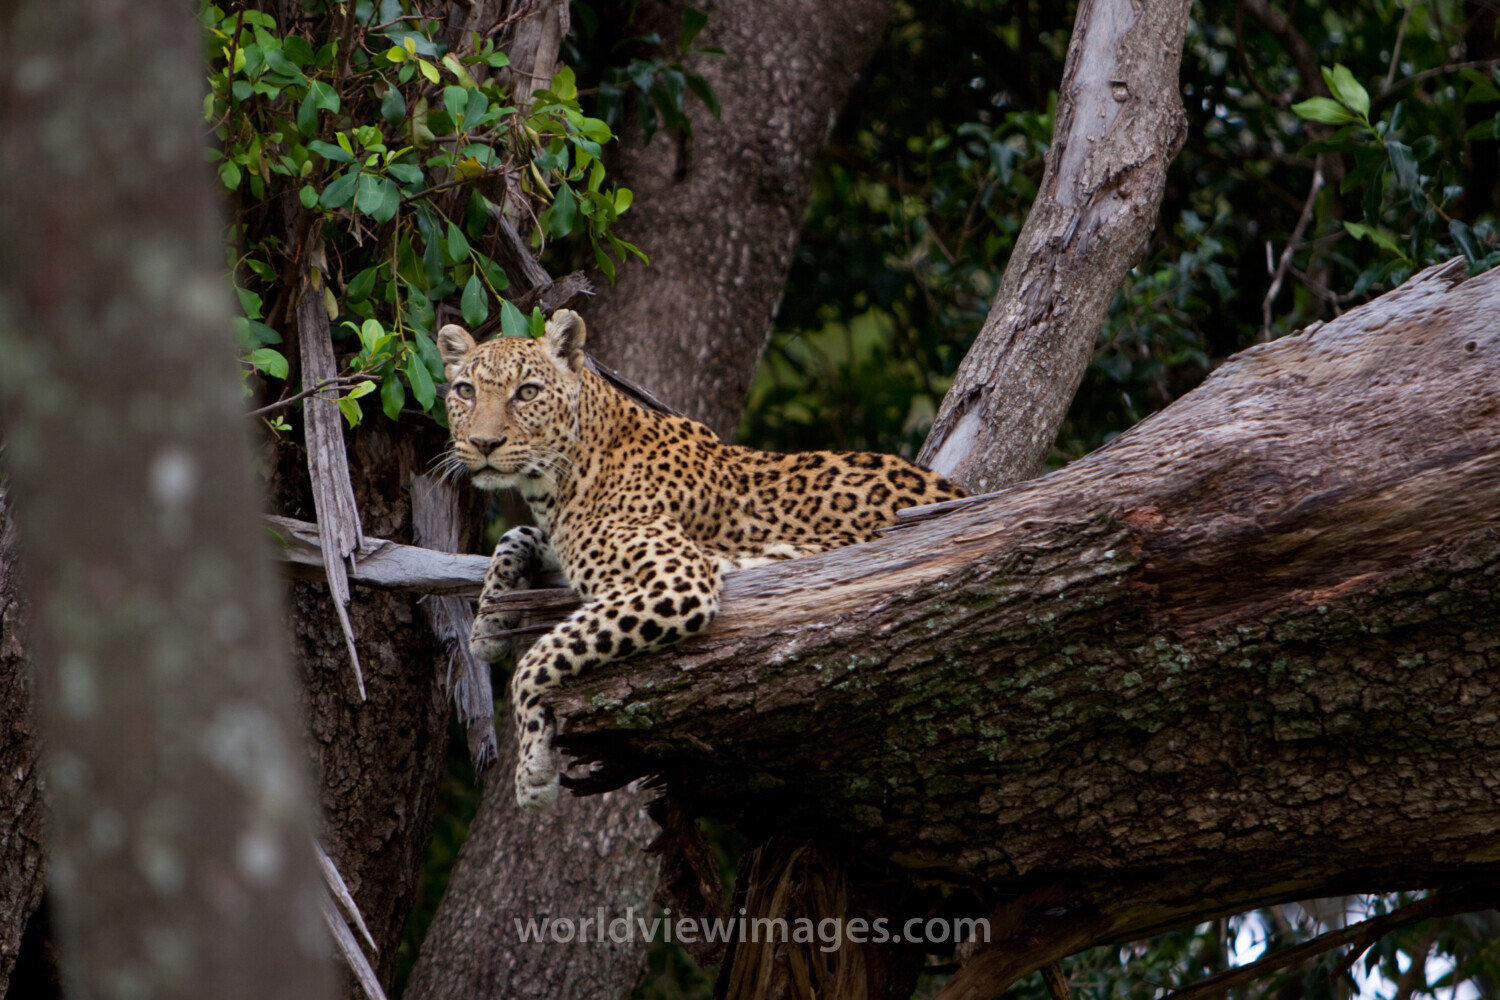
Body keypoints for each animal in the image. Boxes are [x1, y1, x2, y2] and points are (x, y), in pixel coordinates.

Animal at [437, 309, 965, 812]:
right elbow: (514, 535)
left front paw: (534, 772)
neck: (560, 481)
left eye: (526, 393)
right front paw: (488, 625)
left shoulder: (678, 581)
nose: (484, 444)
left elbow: (540, 657)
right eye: (465, 390)